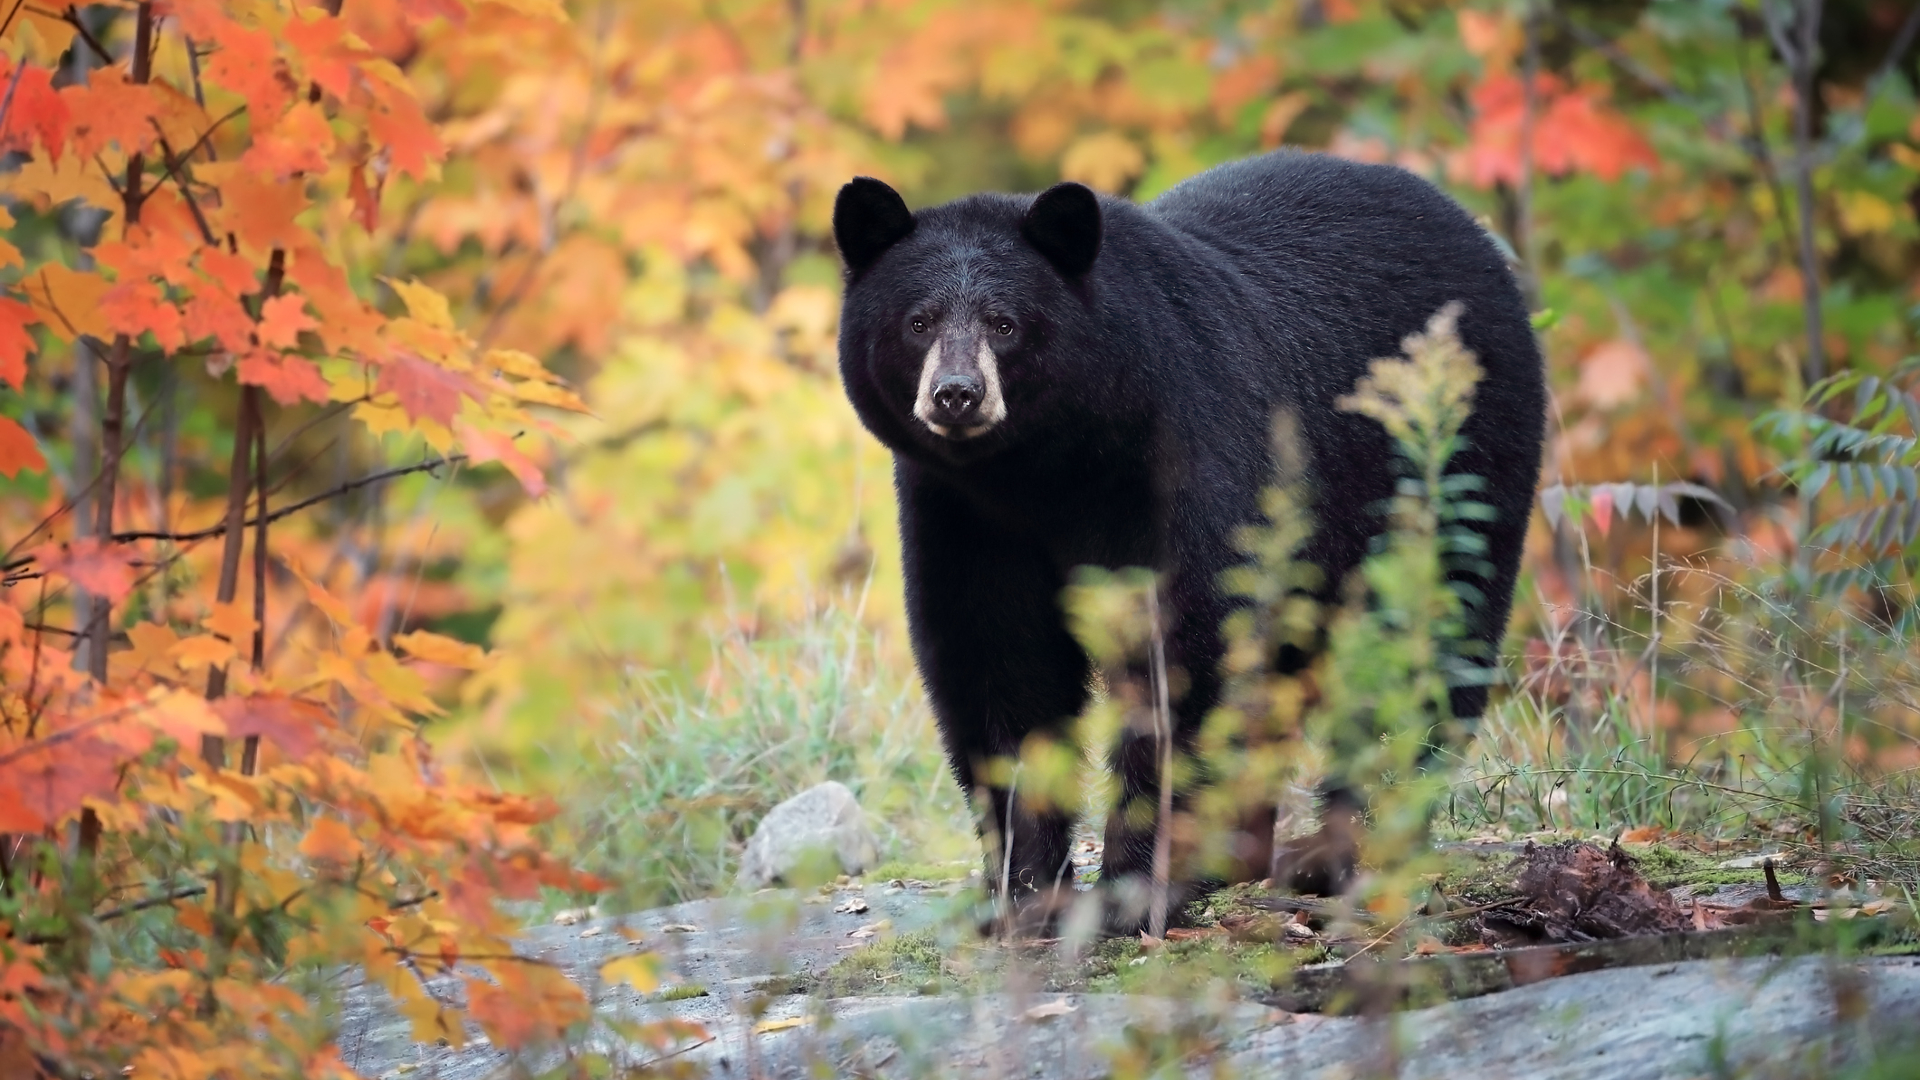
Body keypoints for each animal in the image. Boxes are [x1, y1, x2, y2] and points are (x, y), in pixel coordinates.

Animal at [837, 148, 1543, 926]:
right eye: (918, 320)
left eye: (1004, 323)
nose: (957, 394)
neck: (1049, 465)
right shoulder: (964, 512)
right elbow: (997, 660)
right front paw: (1022, 891)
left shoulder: (1185, 453)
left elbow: (1189, 647)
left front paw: (1136, 885)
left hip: (1450, 464)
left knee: (1425, 637)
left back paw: (1348, 847)